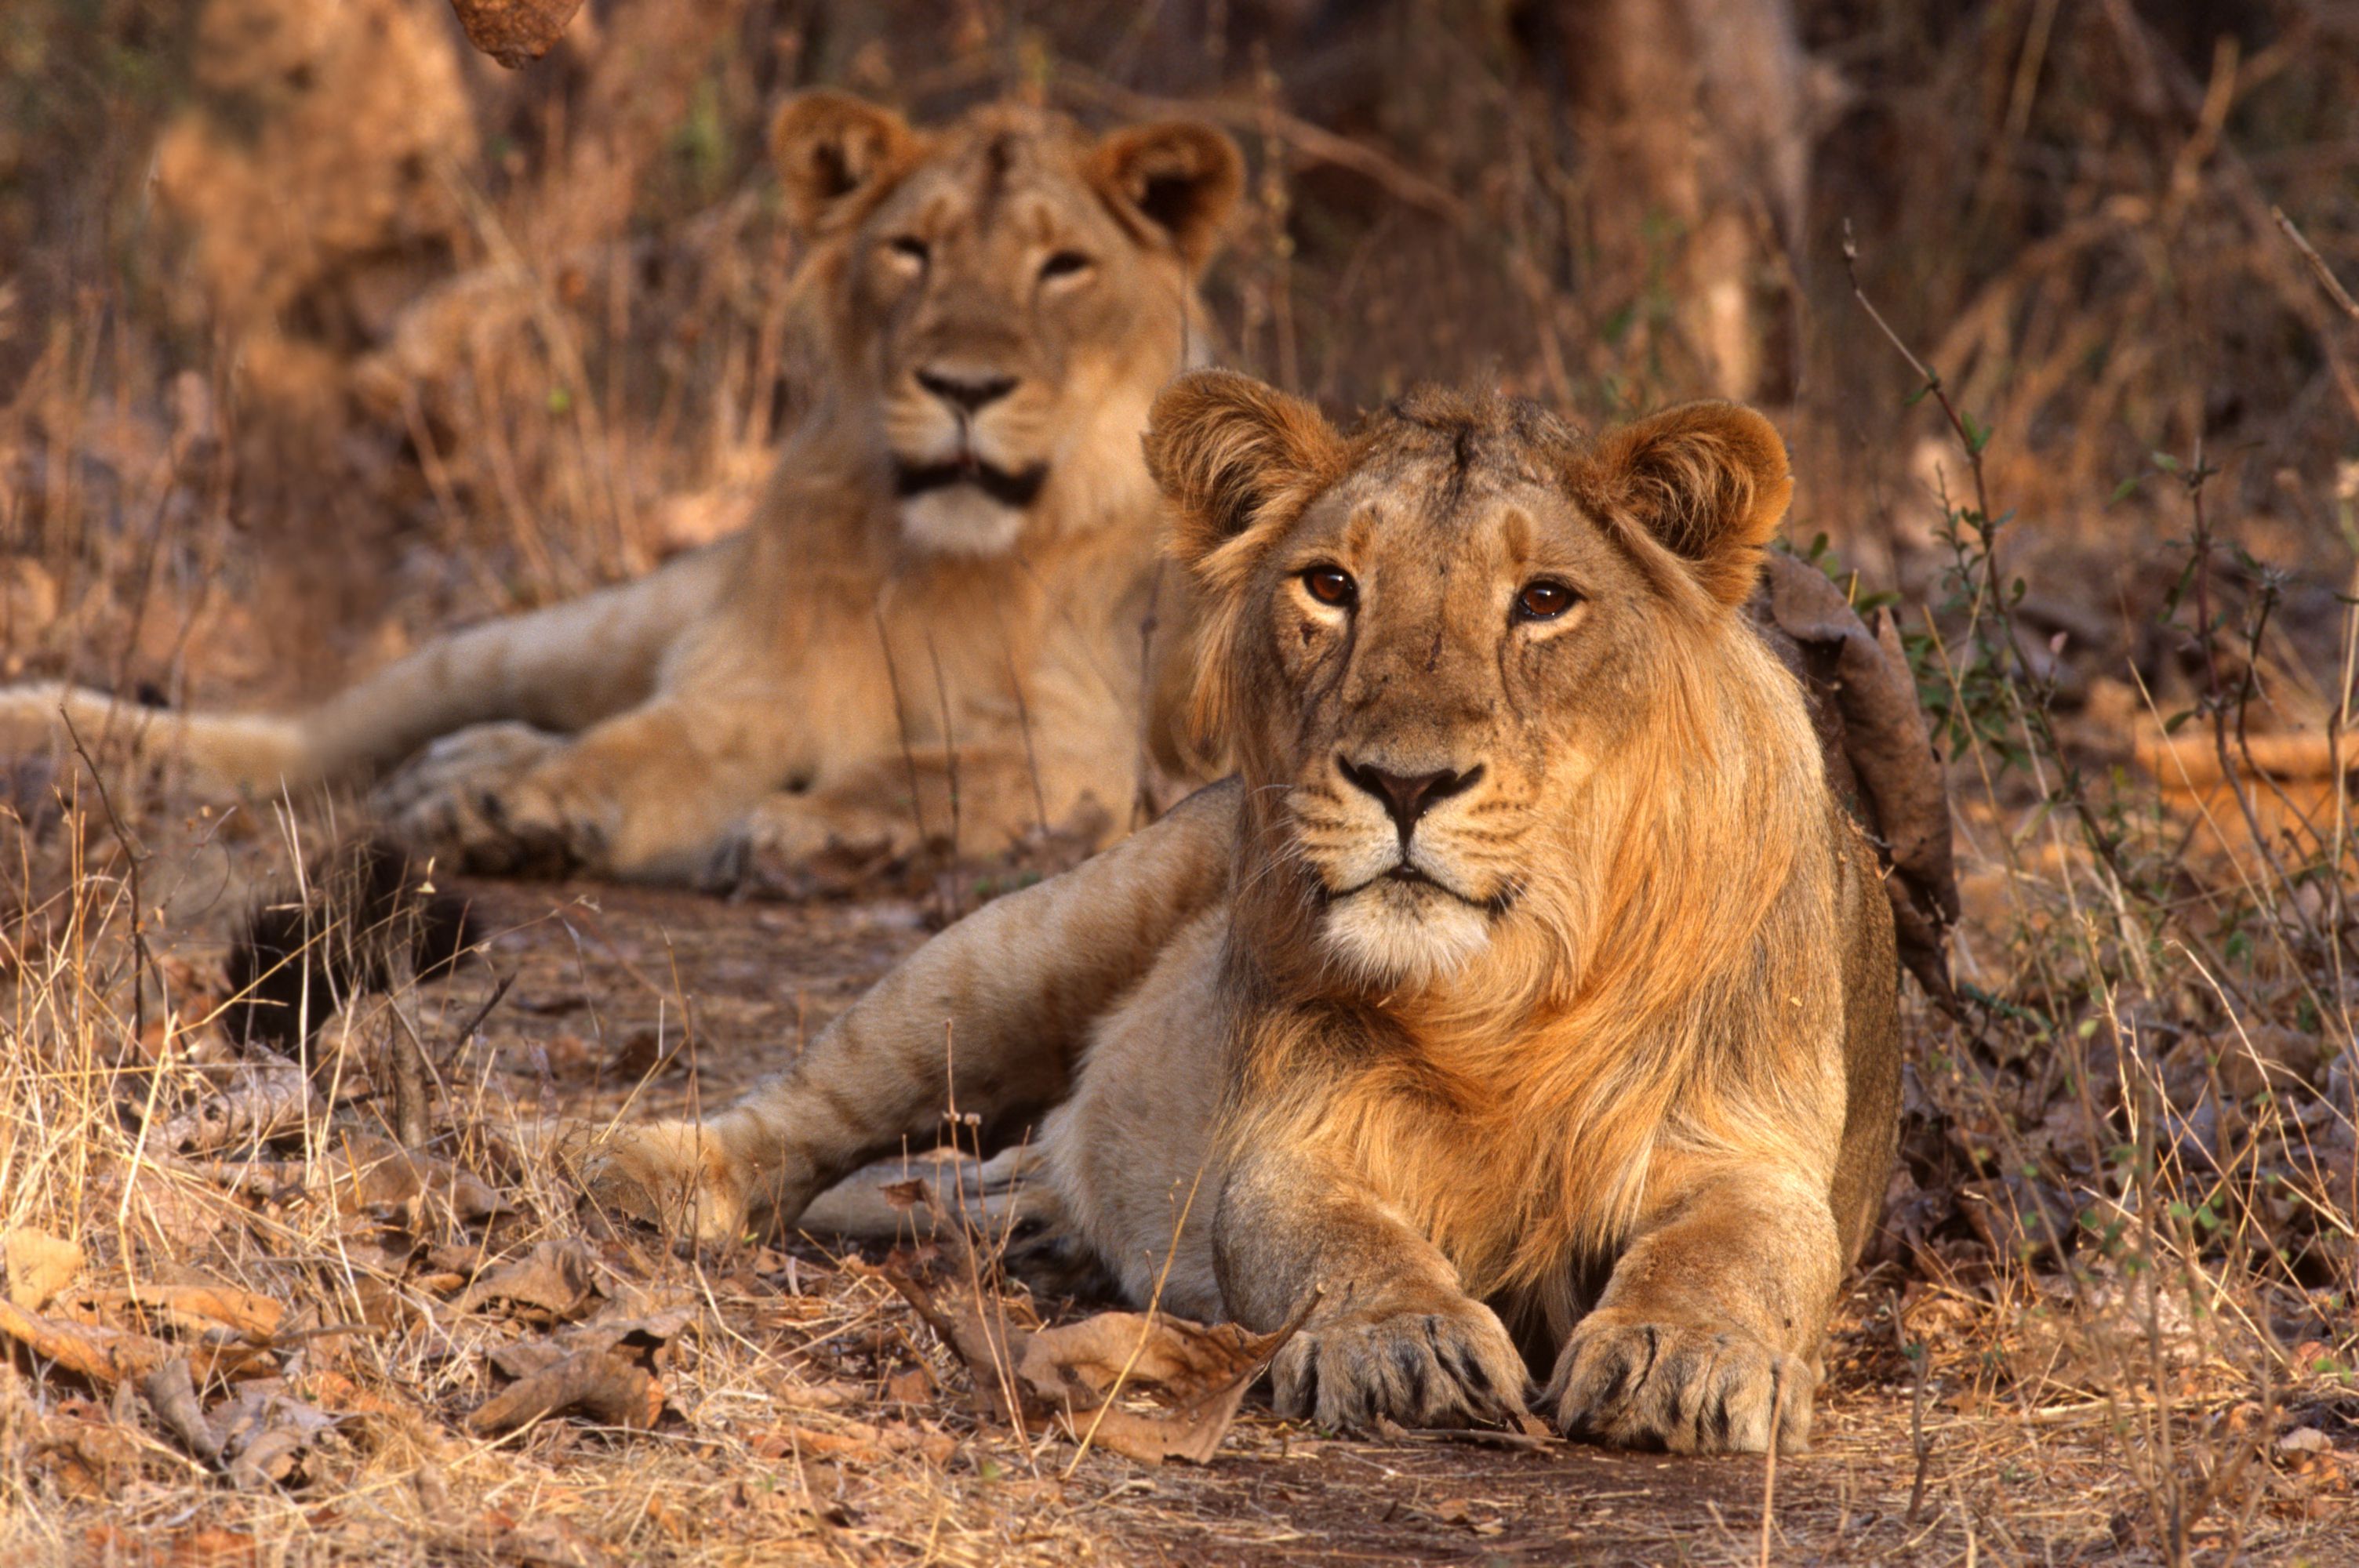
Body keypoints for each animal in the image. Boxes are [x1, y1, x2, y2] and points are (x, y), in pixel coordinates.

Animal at [0, 92, 1245, 886]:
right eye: (911, 250)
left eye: (1063, 267)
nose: (964, 387)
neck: (939, 557)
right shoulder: (742, 694)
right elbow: (638, 750)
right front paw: (533, 807)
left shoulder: (1089, 749)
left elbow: (931, 770)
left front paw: (817, 834)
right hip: (570, 632)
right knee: (321, 734)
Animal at [584, 361, 1896, 1452]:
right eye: (1331, 586)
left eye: (1543, 601)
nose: (1403, 782)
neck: (1507, 997)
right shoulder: (1290, 1140)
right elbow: (1328, 1238)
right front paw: (1399, 1342)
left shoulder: (1751, 1144)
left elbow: (1737, 1250)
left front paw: (1687, 1356)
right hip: (1018, 951)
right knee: (806, 1111)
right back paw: (615, 1164)